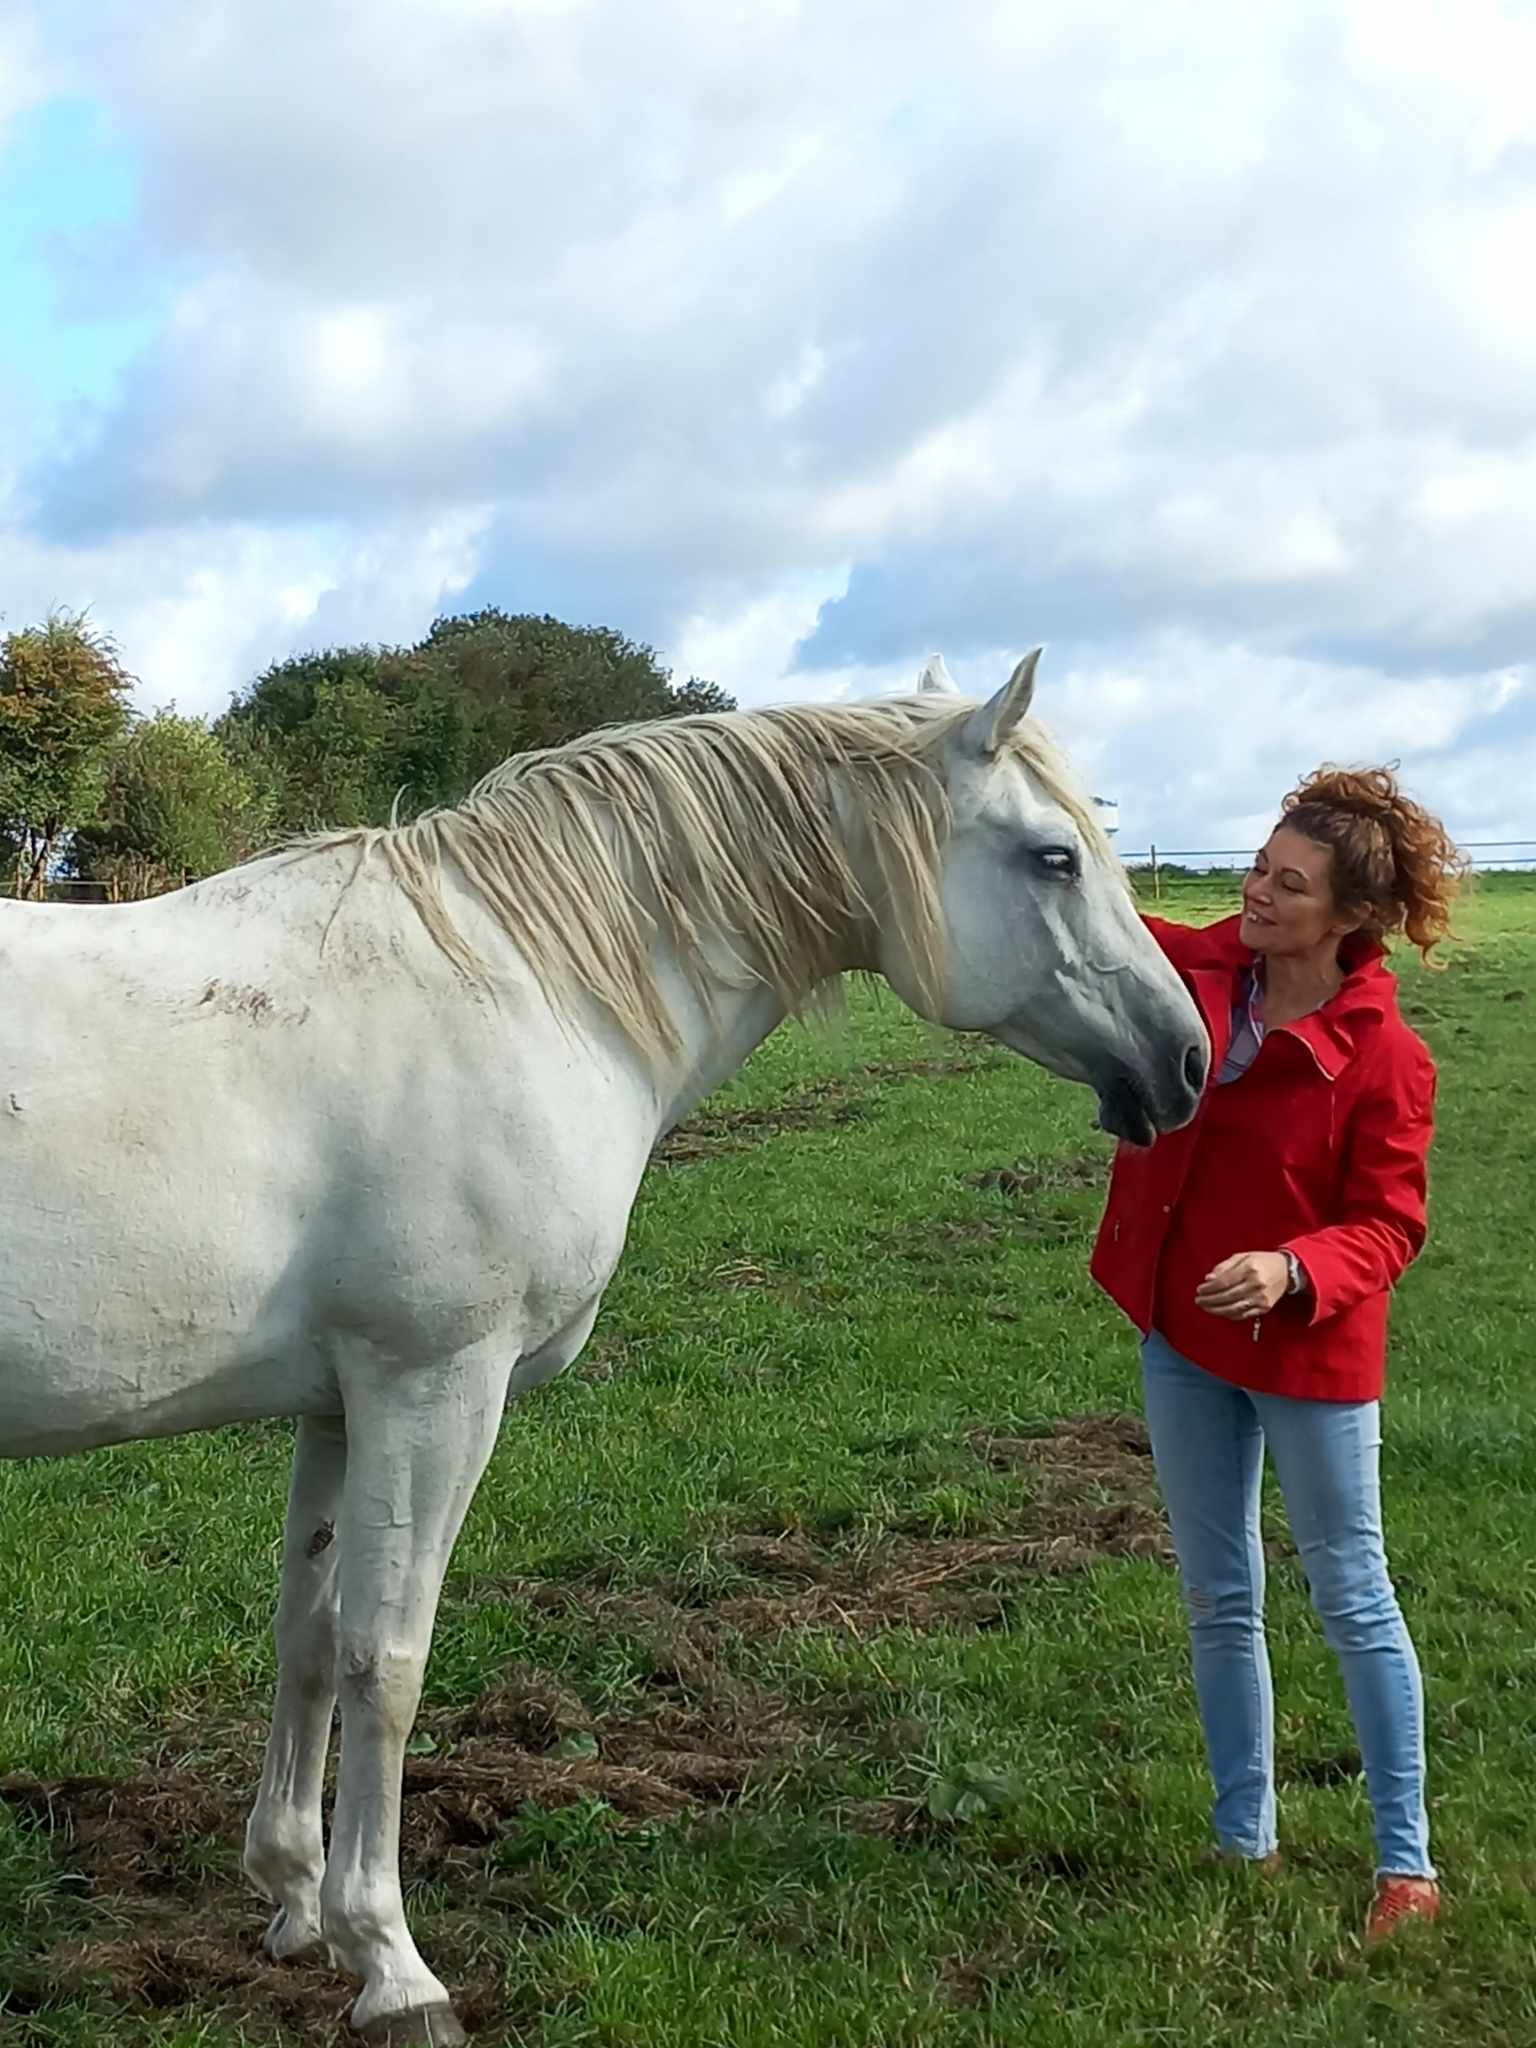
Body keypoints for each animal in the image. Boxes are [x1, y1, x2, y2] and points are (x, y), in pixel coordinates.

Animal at [0, 655, 1212, 2048]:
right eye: (1055, 856)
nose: (1184, 1059)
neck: (521, 985)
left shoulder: (342, 1402)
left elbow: (308, 1634)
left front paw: (296, 1900)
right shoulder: (434, 1386)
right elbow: (386, 1658)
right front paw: (392, 1962)